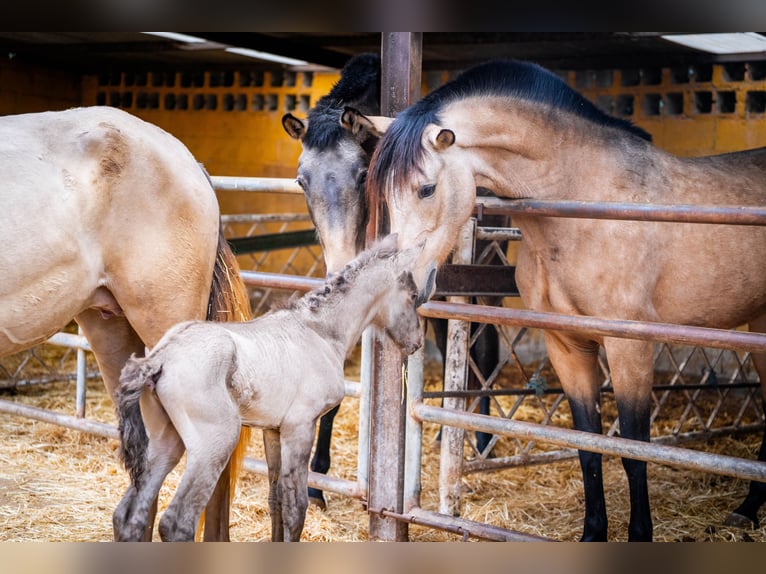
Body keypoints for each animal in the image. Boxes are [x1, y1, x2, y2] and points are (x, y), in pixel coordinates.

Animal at [113, 235, 424, 544]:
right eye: (412, 295)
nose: (417, 342)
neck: (320, 332)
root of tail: (161, 357)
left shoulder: (274, 430)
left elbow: (277, 500)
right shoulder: (300, 426)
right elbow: (297, 507)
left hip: (165, 442)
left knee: (128, 515)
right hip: (214, 443)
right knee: (176, 522)